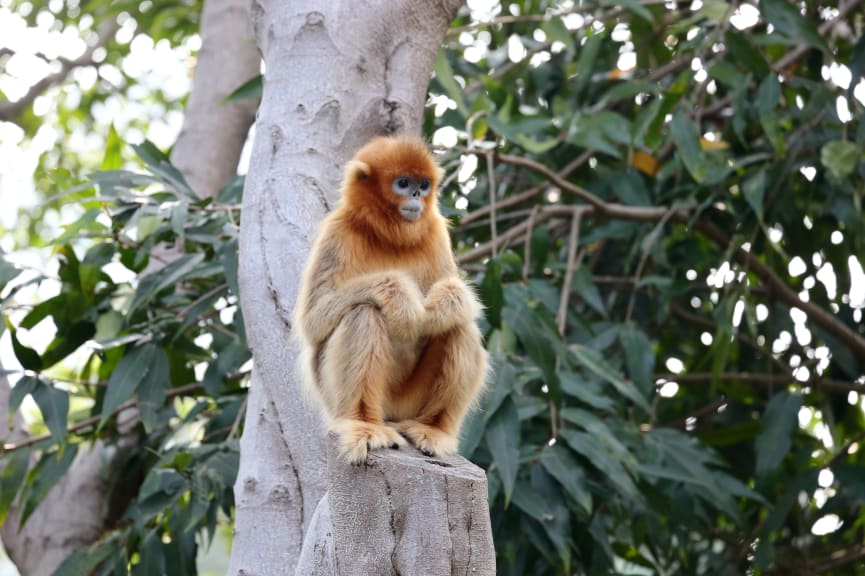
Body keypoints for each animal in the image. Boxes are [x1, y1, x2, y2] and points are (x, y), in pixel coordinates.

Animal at [296, 135, 486, 464]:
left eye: (424, 184)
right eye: (403, 183)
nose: (417, 194)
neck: (389, 235)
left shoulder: (435, 231)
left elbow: (458, 296)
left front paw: (436, 310)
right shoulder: (337, 229)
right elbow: (313, 320)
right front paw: (401, 299)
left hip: (409, 402)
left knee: (460, 326)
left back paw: (432, 430)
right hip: (348, 398)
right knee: (363, 312)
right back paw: (363, 424)